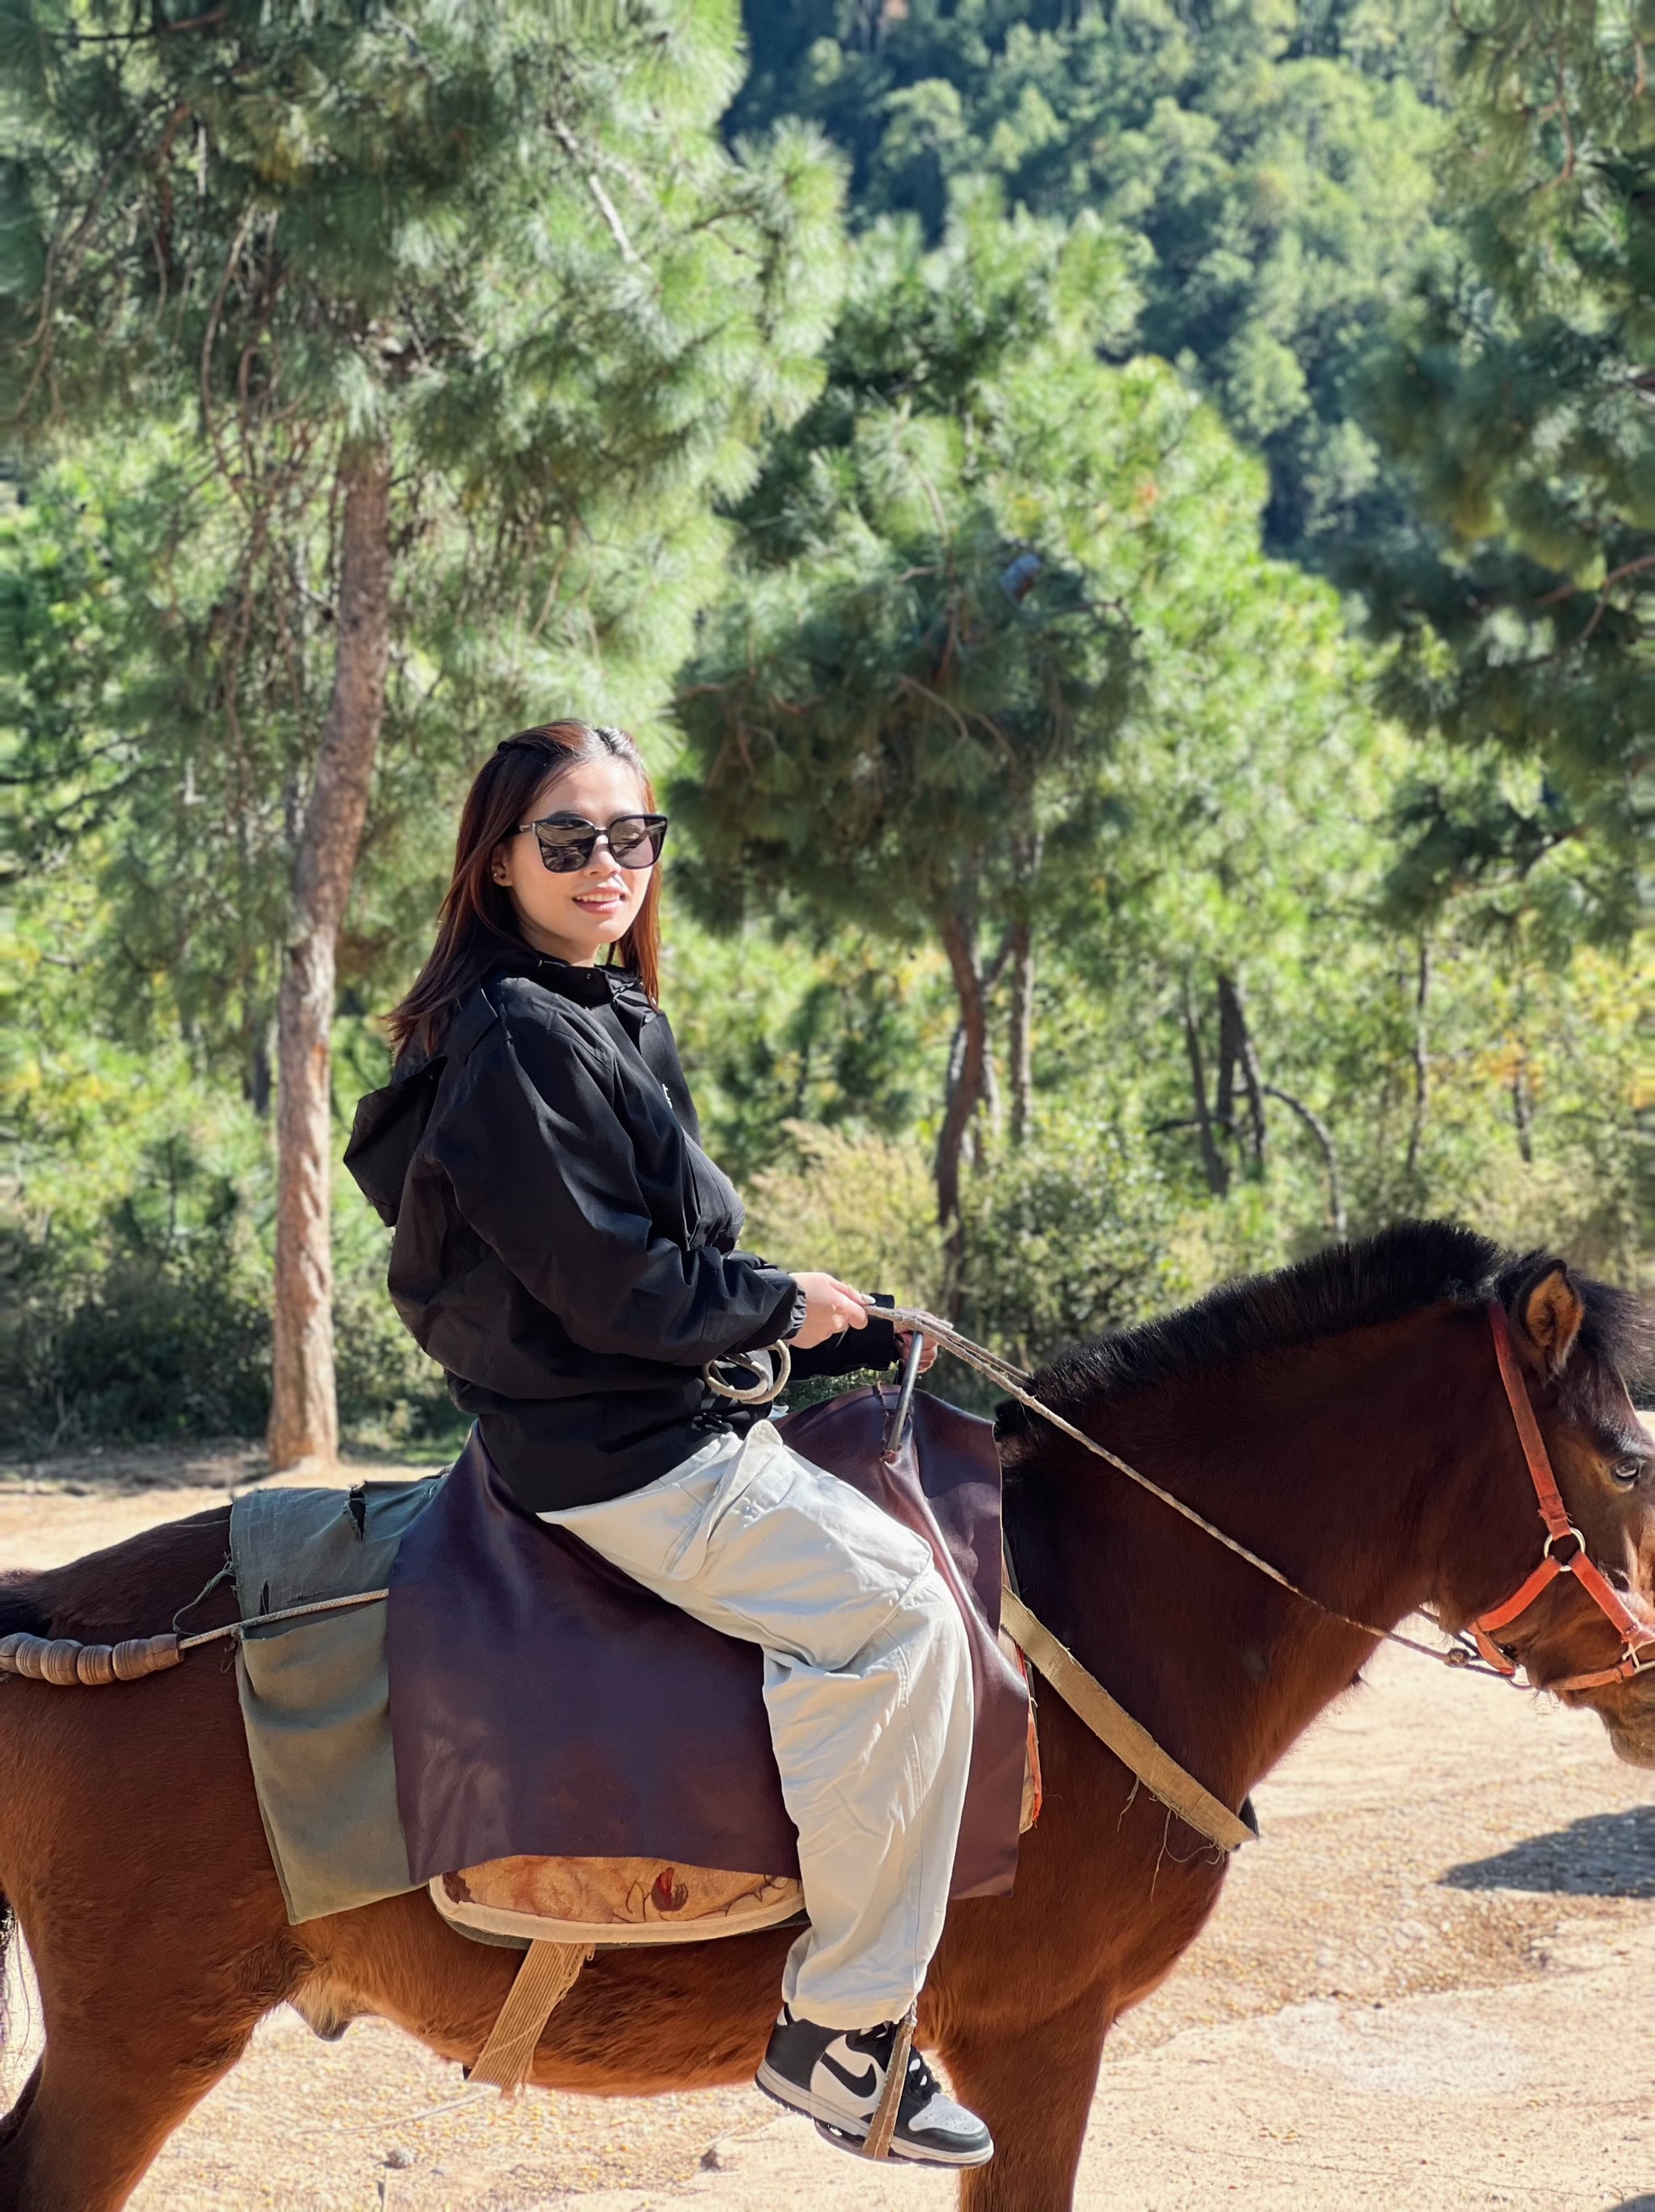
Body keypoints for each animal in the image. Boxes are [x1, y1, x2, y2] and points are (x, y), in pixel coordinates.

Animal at [0, 1230, 1646, 2212]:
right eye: (1628, 1455)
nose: (1649, 1676)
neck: (1101, 1595)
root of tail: (65, 1612)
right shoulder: (1039, 2045)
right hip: (141, 2041)